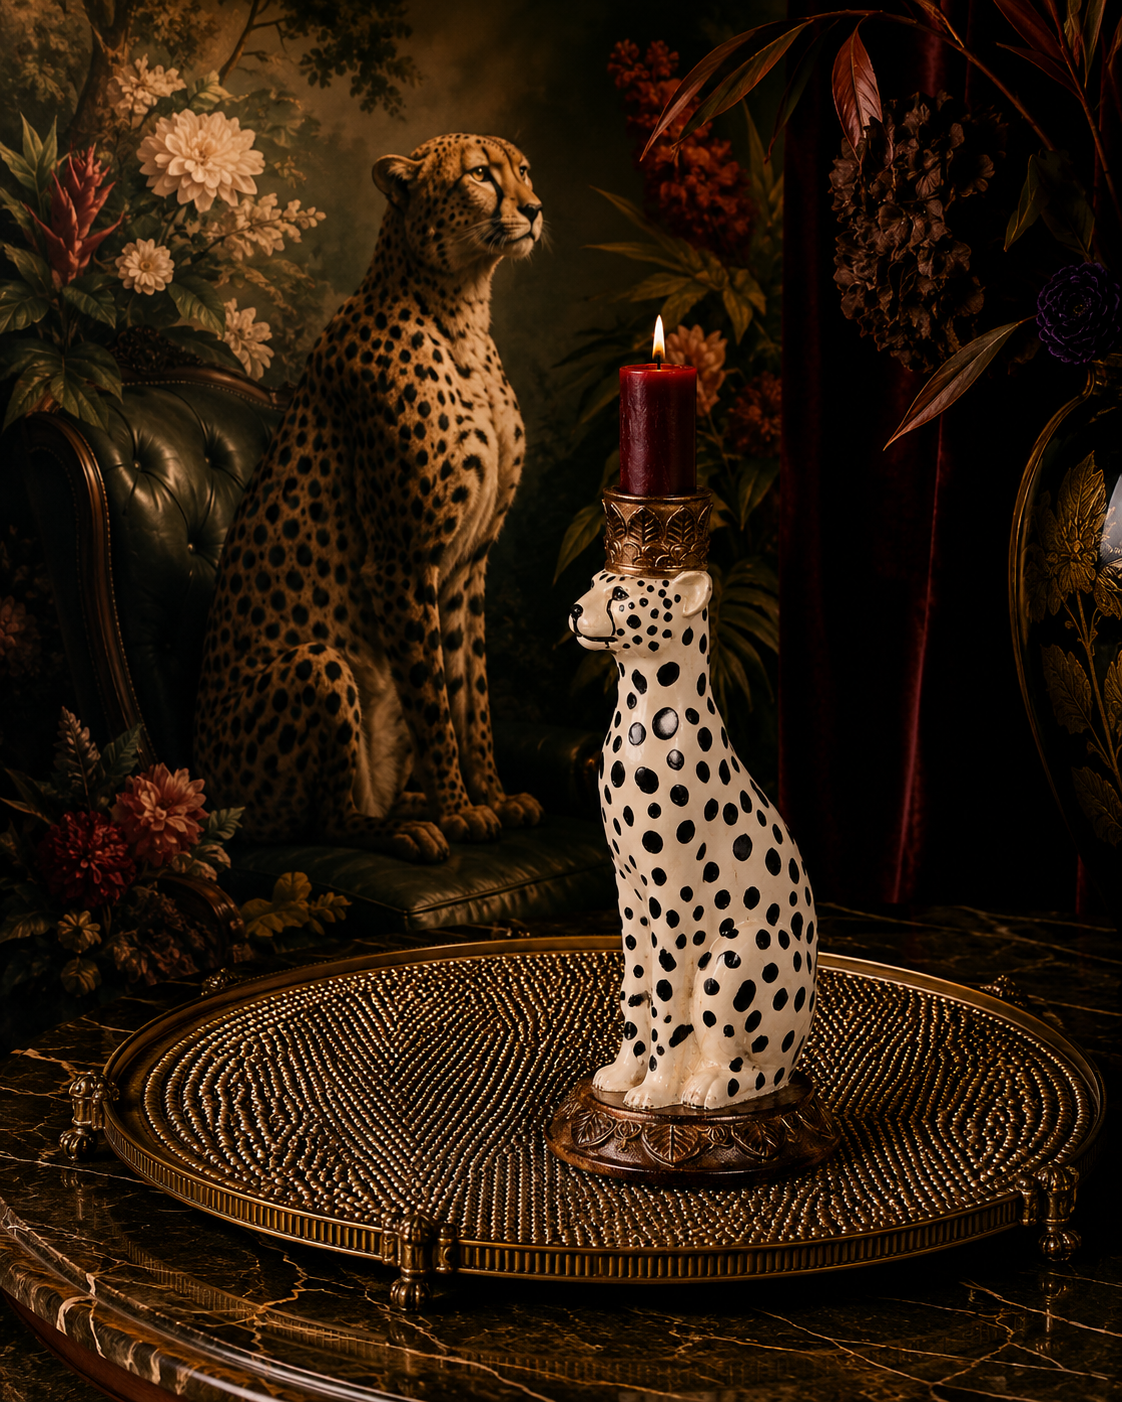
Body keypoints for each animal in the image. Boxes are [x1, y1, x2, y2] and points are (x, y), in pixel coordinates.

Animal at [193, 134, 545, 864]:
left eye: (524, 170)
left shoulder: (465, 569)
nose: (533, 208)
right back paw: (409, 826)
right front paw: (461, 811)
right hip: (320, 666)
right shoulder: (402, 563)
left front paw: (493, 797)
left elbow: (470, 695)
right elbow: (435, 705)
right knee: (328, 821)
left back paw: (410, 804)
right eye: (480, 175)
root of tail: (199, 789)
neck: (461, 309)